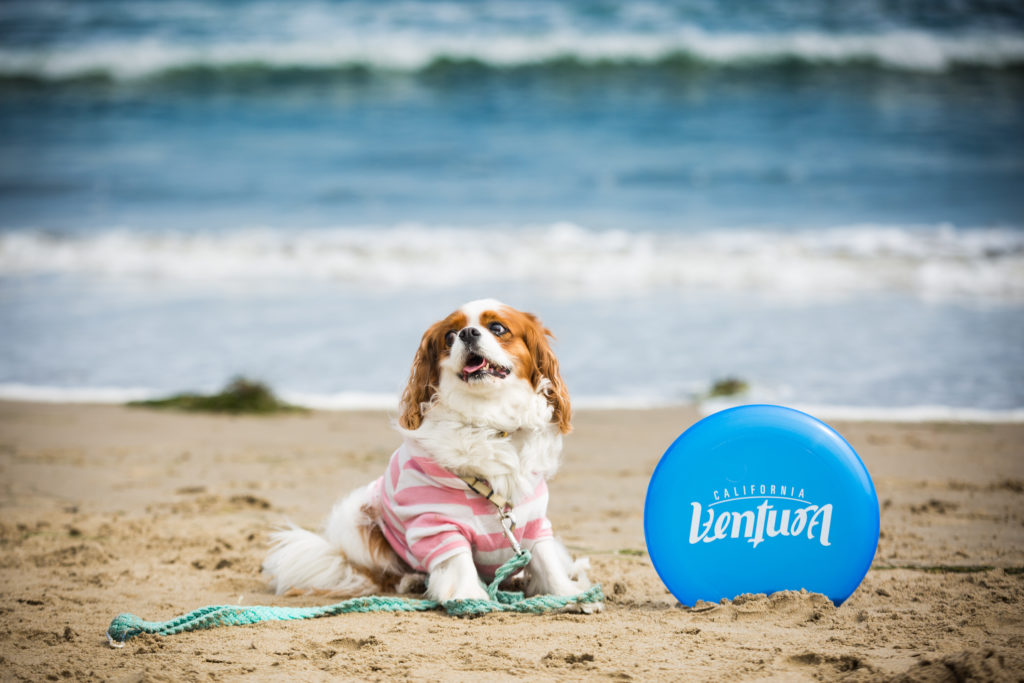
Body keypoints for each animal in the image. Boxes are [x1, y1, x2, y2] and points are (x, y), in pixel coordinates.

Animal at [264, 299, 598, 610]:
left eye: (498, 328)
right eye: (450, 335)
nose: (467, 333)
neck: (489, 422)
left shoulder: (534, 519)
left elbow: (545, 559)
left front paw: (567, 593)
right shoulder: (436, 522)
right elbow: (457, 559)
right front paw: (468, 596)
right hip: (355, 515)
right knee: (383, 573)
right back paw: (411, 580)